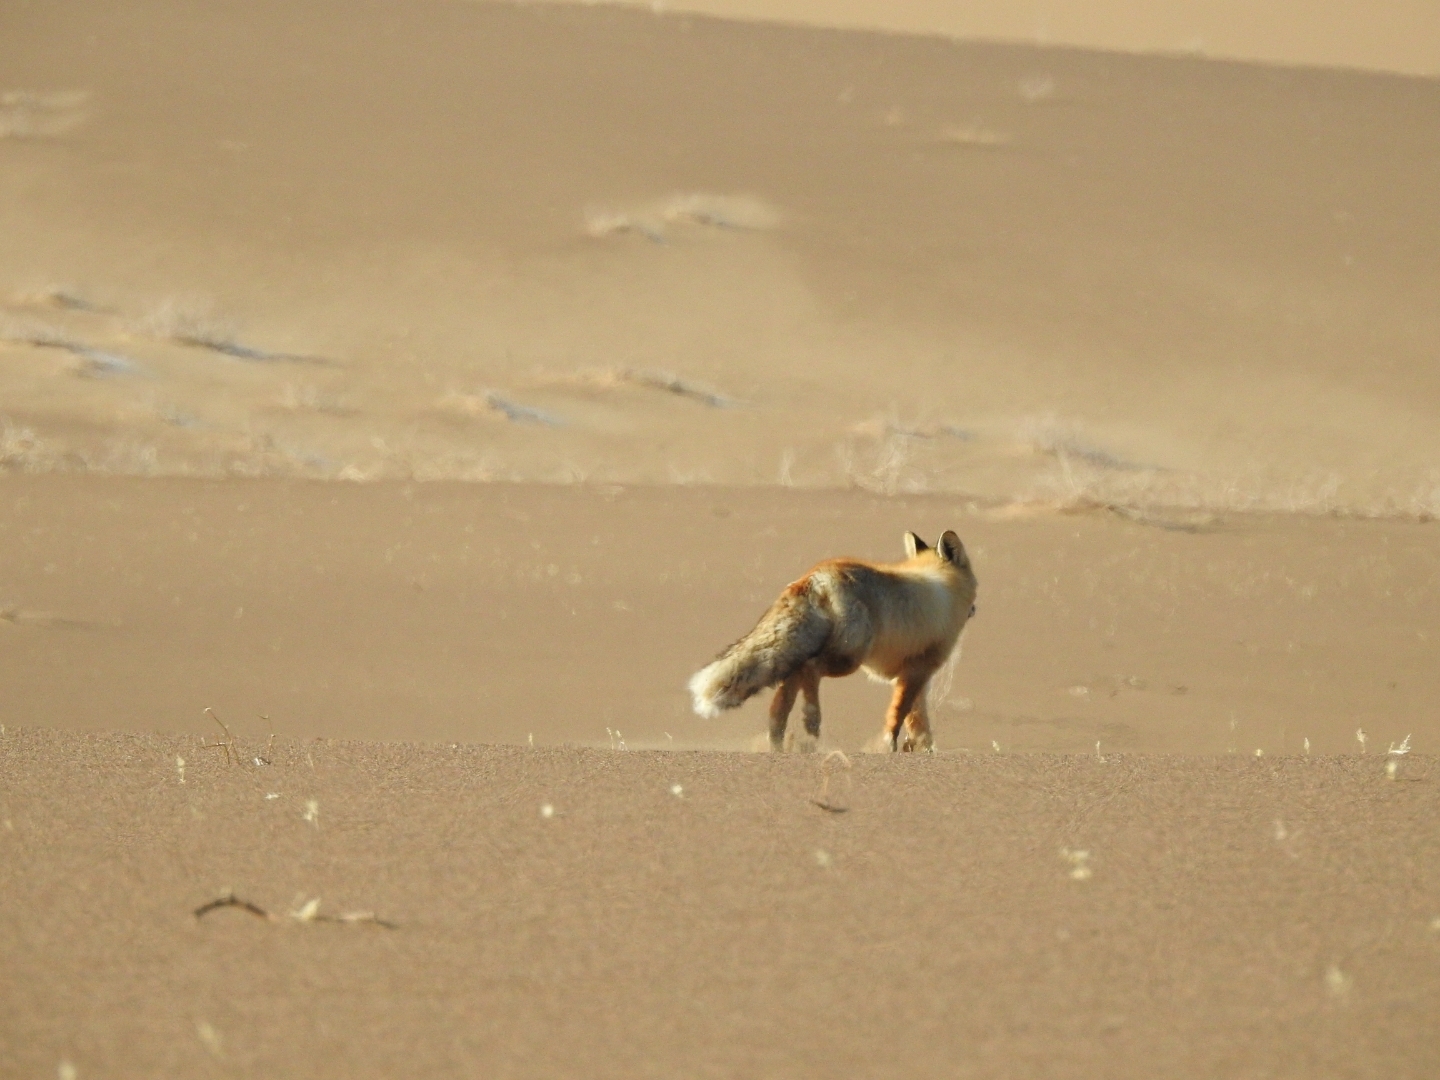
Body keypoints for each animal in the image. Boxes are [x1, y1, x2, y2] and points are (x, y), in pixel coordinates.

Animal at [688, 532, 979, 754]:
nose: (975, 610)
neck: (942, 589)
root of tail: (815, 576)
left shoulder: (912, 672)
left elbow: (917, 719)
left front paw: (923, 750)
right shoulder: (918, 669)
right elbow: (898, 714)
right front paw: (889, 747)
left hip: (814, 656)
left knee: (782, 698)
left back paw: (779, 744)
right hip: (848, 658)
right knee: (810, 668)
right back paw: (810, 723)